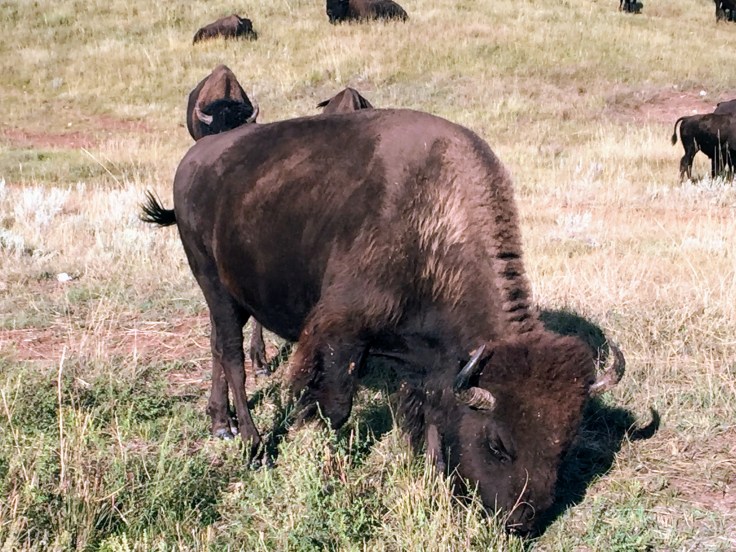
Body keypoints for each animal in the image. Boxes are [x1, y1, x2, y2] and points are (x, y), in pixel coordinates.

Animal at [142, 108, 624, 534]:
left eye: (565, 444)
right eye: (498, 443)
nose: (521, 522)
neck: (430, 225)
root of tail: (194, 160)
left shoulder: (429, 363)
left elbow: (427, 414)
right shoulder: (340, 335)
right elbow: (335, 406)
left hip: (225, 298)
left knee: (217, 349)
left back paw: (219, 424)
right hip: (215, 286)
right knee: (232, 356)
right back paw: (253, 443)